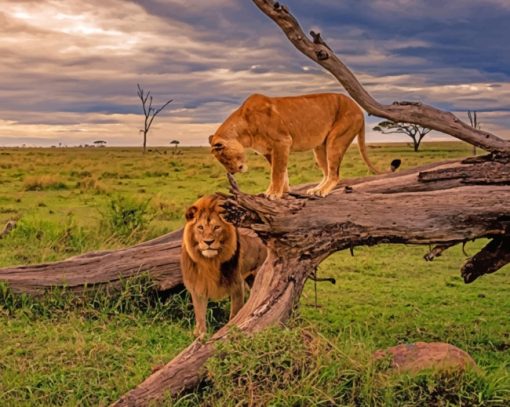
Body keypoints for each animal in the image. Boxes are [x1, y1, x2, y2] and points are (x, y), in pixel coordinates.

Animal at [180, 194, 266, 338]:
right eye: (200, 227)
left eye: (216, 227)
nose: (208, 242)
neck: (210, 262)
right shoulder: (198, 287)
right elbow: (200, 314)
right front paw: (200, 335)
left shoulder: (237, 285)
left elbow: (234, 313)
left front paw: (230, 330)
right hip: (250, 279)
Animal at [209, 93, 380, 201]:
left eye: (224, 158)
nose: (232, 172)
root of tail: (359, 108)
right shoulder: (269, 151)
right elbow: (280, 171)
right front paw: (281, 191)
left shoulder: (282, 141)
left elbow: (277, 172)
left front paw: (274, 194)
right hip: (320, 147)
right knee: (327, 172)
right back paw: (315, 190)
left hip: (336, 139)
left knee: (334, 174)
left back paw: (321, 191)